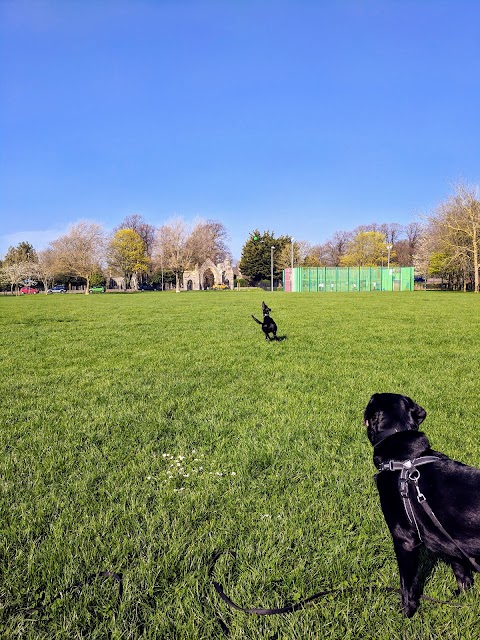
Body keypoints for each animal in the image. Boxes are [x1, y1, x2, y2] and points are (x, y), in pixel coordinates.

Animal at [364, 392, 480, 616]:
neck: (402, 459)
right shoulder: (449, 538)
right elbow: (461, 572)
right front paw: (462, 595)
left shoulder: (404, 540)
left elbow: (406, 585)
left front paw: (406, 613)